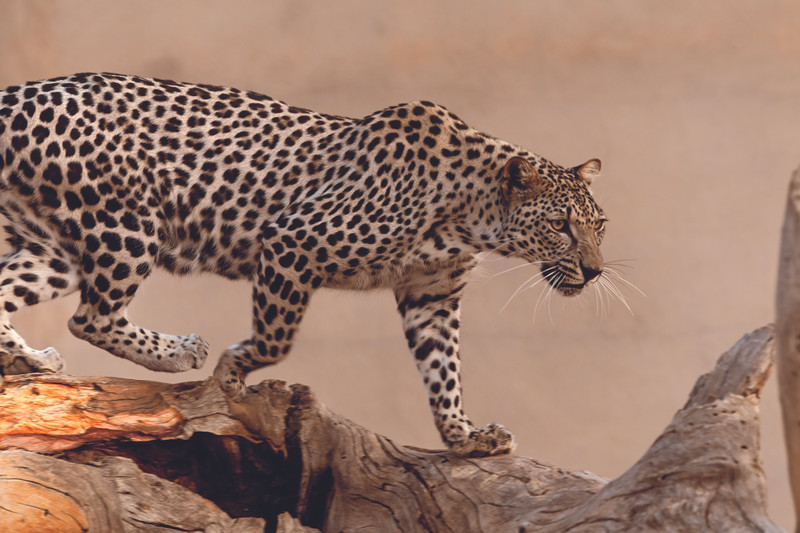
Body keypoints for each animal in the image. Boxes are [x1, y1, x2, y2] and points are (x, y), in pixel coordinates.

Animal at [0, 73, 606, 457]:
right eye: (561, 226)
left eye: (599, 225)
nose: (596, 271)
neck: (472, 214)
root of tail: (18, 92)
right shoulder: (291, 243)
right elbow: (277, 340)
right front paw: (232, 371)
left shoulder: (430, 294)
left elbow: (444, 371)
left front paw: (464, 437)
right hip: (126, 224)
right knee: (91, 317)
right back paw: (176, 352)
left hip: (57, 247)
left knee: (17, 291)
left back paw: (30, 360)